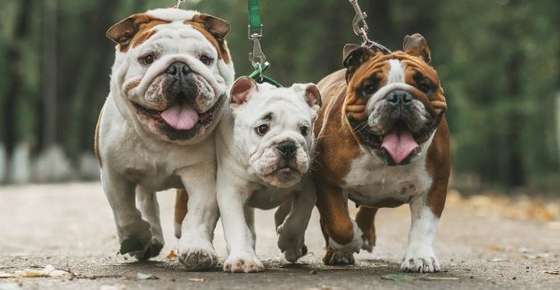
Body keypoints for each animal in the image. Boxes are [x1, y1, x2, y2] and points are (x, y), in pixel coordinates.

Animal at [95, 9, 234, 272]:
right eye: (148, 58)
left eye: (205, 59)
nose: (179, 67)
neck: (159, 139)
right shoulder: (113, 173)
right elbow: (124, 210)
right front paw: (136, 237)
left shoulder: (202, 173)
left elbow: (199, 212)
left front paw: (197, 248)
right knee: (146, 200)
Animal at [218, 77, 320, 272]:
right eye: (262, 128)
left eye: (304, 129)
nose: (288, 145)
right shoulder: (231, 192)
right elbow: (238, 226)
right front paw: (243, 259)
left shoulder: (307, 188)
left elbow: (298, 218)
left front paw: (289, 242)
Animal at [316, 34, 450, 272]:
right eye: (369, 87)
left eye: (424, 85)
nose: (399, 96)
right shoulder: (327, 182)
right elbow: (339, 224)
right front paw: (349, 242)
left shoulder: (434, 185)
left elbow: (424, 225)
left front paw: (420, 257)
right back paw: (340, 250)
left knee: (370, 207)